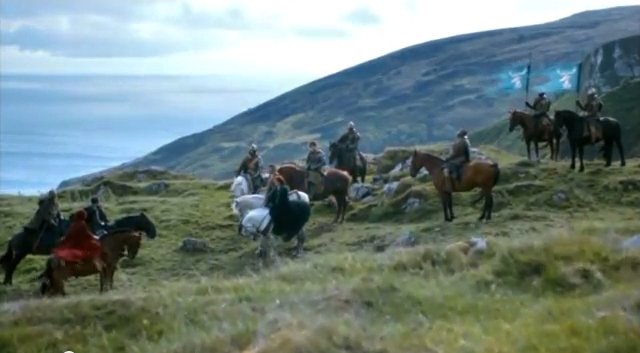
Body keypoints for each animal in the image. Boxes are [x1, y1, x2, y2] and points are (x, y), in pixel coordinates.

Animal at [1, 212, 157, 284]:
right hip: (20, 254)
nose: (154, 233)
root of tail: (12, 238)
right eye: (146, 220)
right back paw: (8, 282)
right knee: (11, 266)